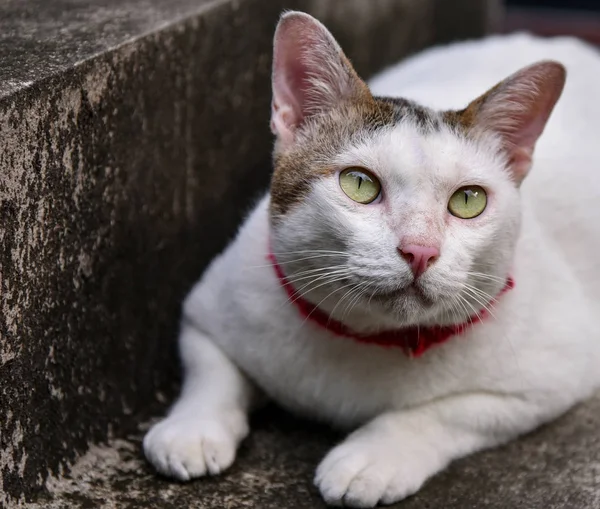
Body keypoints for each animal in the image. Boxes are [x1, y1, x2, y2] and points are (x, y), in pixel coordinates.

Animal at [142, 9, 600, 506]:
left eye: (469, 201)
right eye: (359, 184)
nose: (420, 250)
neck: (365, 339)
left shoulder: (552, 375)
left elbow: (443, 412)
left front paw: (373, 457)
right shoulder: (207, 310)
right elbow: (212, 373)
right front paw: (192, 429)